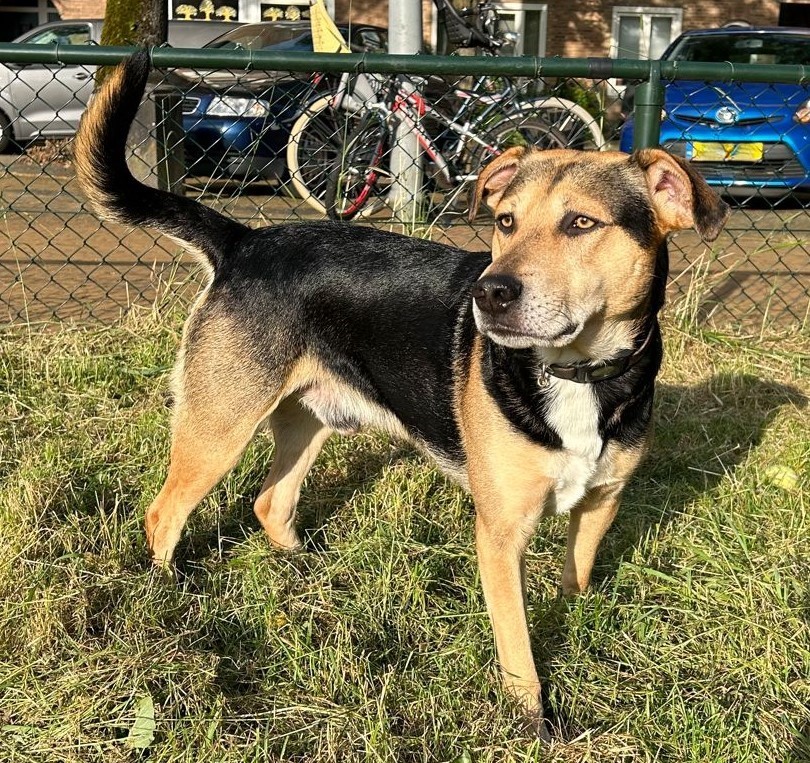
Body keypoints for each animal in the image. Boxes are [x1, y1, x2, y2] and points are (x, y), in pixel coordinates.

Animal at [72, 49, 724, 740]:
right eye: (506, 221)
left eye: (581, 224)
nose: (489, 294)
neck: (576, 374)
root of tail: (244, 240)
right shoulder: (500, 532)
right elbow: (517, 642)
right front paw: (532, 717)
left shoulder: (602, 502)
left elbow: (576, 577)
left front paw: (576, 630)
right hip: (219, 428)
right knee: (164, 514)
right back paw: (170, 597)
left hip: (308, 422)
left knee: (269, 503)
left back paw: (304, 572)